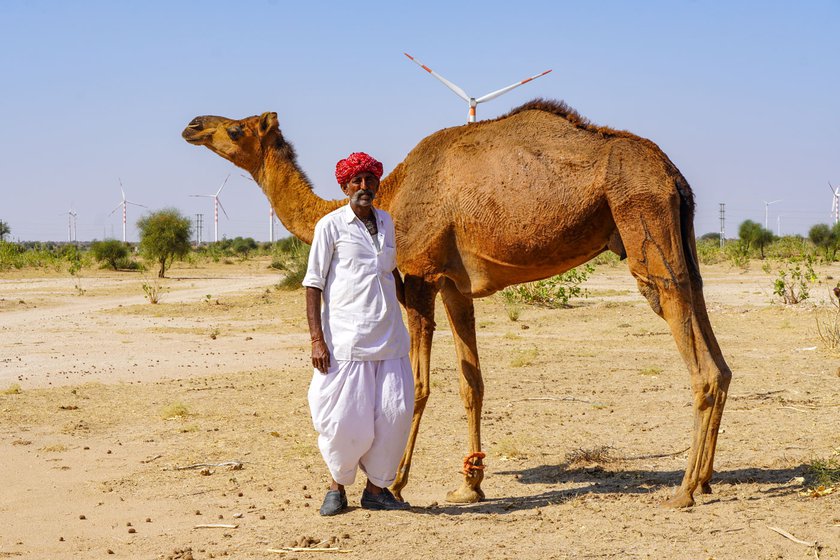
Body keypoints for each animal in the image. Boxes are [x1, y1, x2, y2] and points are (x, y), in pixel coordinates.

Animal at [180, 99, 732, 508]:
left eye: (237, 129)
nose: (193, 124)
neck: (392, 192)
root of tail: (671, 174)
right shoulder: (455, 286)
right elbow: (473, 383)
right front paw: (470, 484)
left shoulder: (419, 277)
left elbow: (419, 386)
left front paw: (393, 485)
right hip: (679, 235)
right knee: (710, 333)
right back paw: (705, 479)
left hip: (642, 219)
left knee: (695, 350)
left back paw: (683, 490)